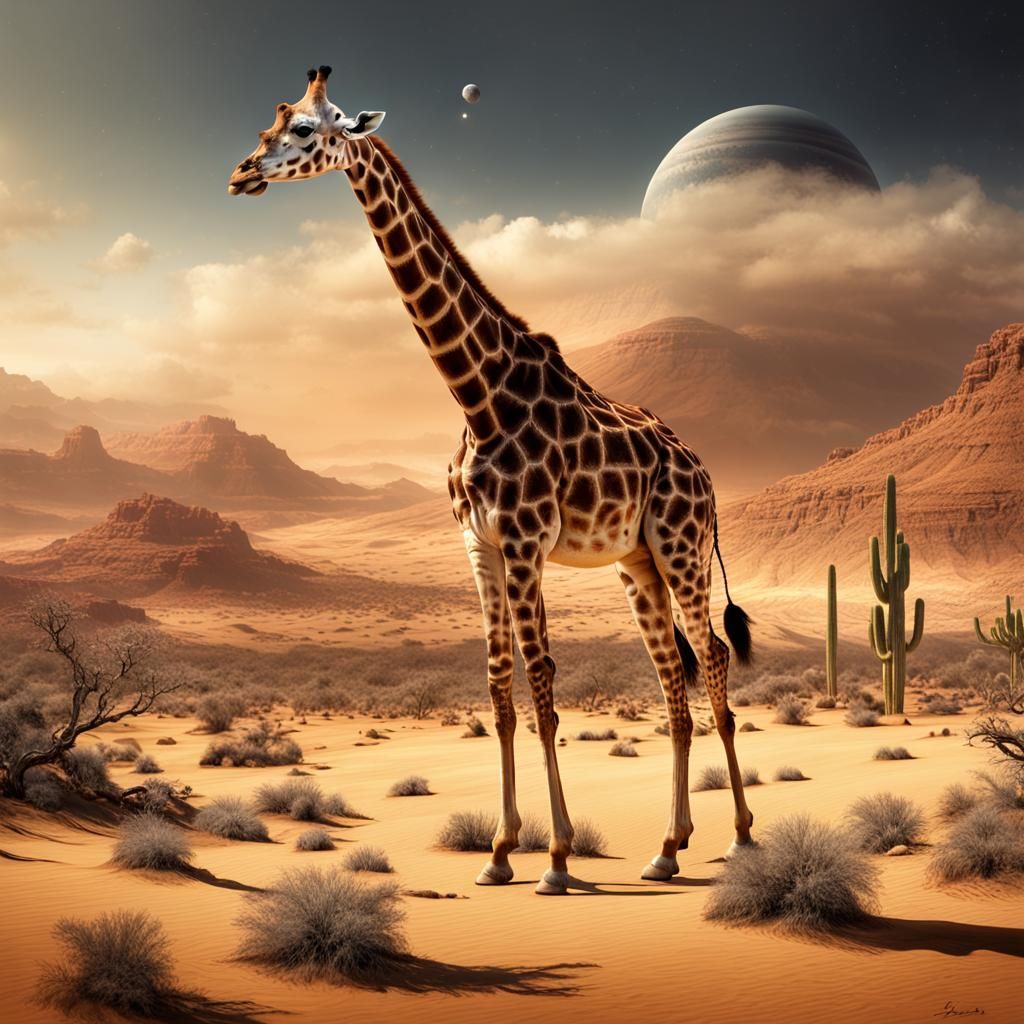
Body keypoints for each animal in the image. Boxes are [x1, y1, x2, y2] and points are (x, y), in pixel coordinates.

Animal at [229, 66, 756, 895]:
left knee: (714, 661)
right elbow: (501, 687)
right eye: (269, 122)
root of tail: (704, 474)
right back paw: (669, 848)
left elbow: (542, 685)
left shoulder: (527, 542)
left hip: (681, 547)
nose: (242, 173)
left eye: (309, 129)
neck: (477, 395)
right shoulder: (479, 547)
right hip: (636, 563)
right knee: (673, 674)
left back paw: (738, 837)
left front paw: (558, 858)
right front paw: (503, 853)